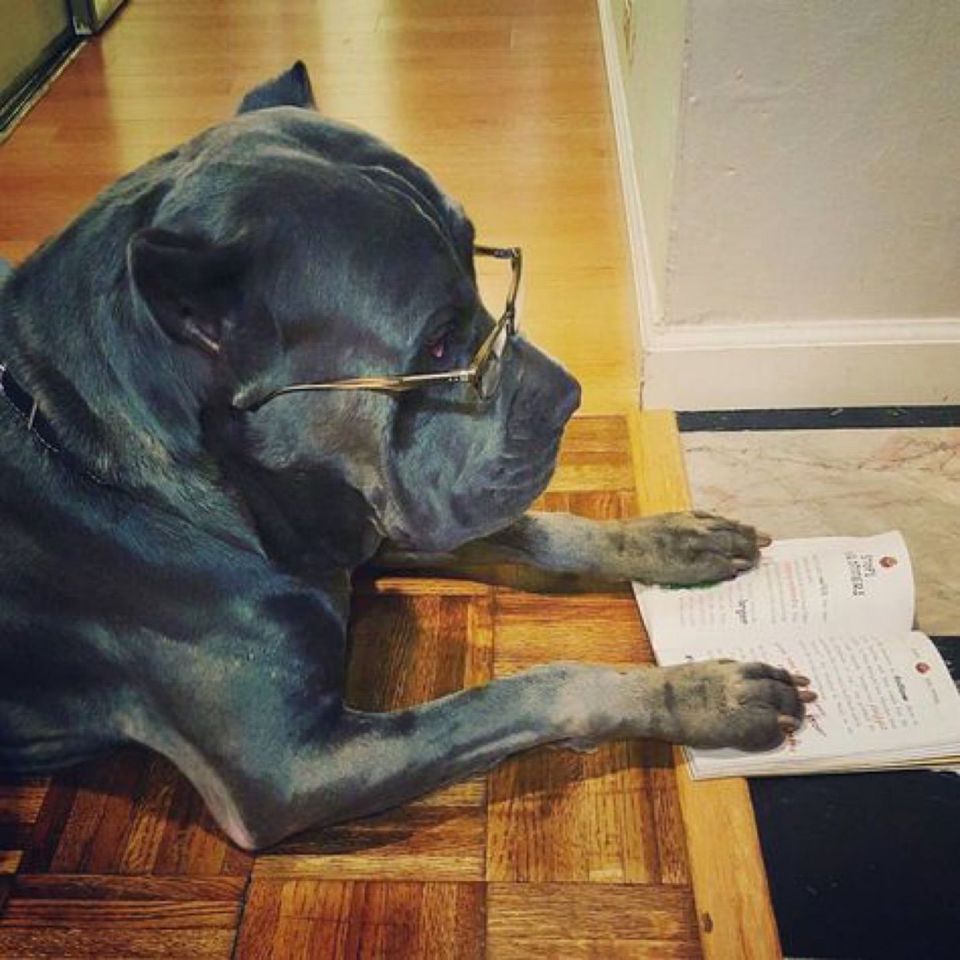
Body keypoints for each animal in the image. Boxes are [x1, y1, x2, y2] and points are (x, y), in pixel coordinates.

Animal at [0, 63, 812, 850]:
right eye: (441, 345)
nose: (571, 397)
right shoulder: (288, 769)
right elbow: (533, 687)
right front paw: (699, 693)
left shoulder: (360, 519)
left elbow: (545, 532)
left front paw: (670, 540)